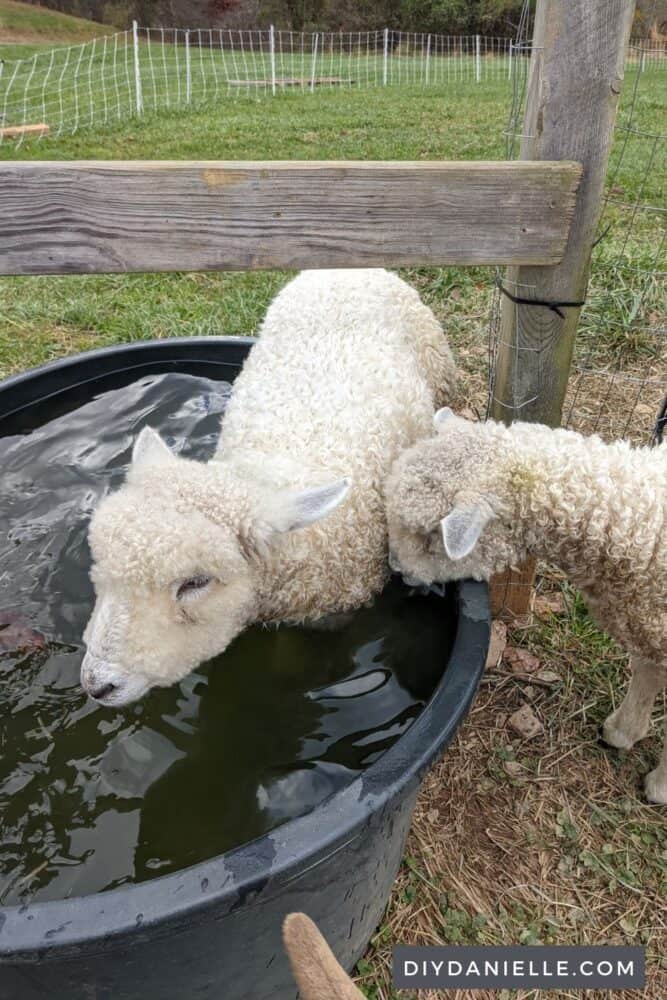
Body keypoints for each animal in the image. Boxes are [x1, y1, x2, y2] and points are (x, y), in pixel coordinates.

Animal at [386, 406, 667, 804]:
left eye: (428, 537)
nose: (396, 569)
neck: (641, 522)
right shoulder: (649, 627)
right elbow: (647, 672)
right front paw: (623, 732)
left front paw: (660, 786)